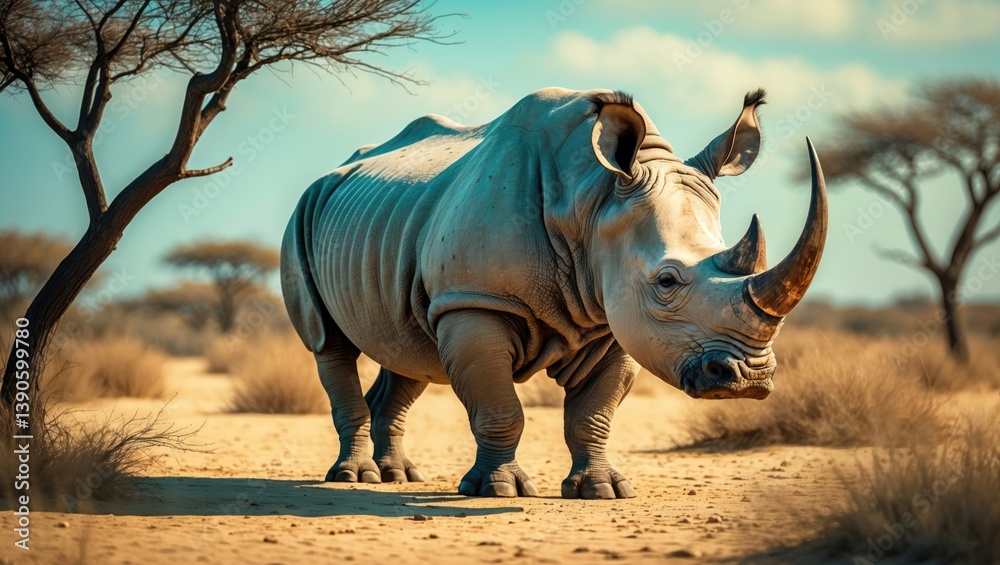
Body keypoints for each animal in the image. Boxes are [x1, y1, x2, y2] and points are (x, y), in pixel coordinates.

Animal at [280, 87, 827, 499]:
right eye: (667, 281)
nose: (748, 379)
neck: (593, 200)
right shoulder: (475, 302)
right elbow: (500, 407)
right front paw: (499, 490)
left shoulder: (612, 316)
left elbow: (594, 414)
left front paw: (602, 490)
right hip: (305, 213)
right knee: (330, 344)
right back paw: (355, 477)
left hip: (391, 230)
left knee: (408, 350)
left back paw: (399, 476)